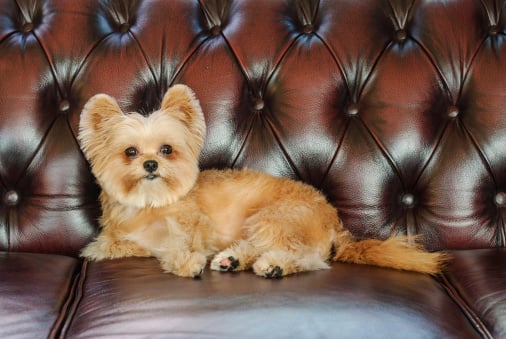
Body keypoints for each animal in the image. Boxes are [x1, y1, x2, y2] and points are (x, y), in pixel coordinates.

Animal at [78, 84, 446, 278]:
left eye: (167, 149)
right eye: (130, 152)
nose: (151, 164)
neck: (151, 204)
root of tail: (334, 221)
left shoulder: (197, 227)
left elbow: (183, 244)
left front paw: (187, 261)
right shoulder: (112, 241)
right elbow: (114, 246)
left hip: (272, 217)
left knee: (303, 256)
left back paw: (270, 266)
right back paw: (235, 261)